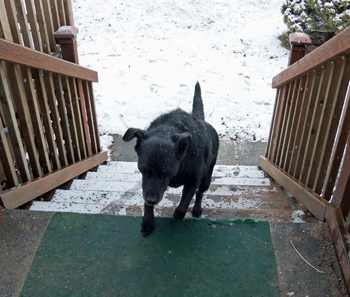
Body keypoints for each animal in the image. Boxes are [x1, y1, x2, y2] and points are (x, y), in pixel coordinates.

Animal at [121, 82, 217, 235]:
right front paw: (148, 221)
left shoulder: (193, 181)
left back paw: (197, 208)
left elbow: (184, 203)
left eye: (165, 172)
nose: (151, 200)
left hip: (206, 179)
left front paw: (178, 213)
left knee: (200, 193)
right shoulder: (147, 183)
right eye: (143, 169)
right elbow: (147, 196)